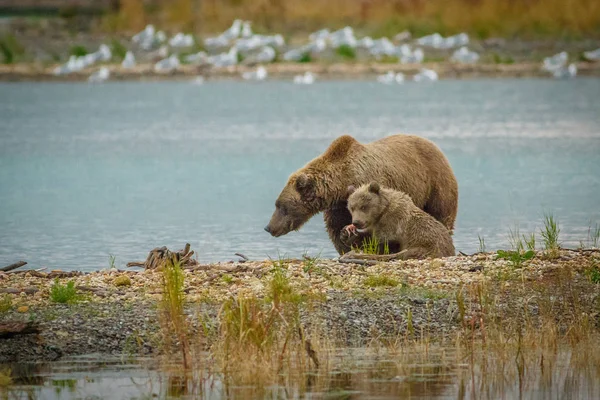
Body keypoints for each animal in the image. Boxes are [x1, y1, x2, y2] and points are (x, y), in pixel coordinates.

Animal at [264, 134, 458, 253]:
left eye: (281, 206)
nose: (269, 227)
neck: (343, 182)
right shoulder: (339, 206)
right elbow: (336, 229)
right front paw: (346, 245)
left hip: (436, 184)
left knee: (441, 214)